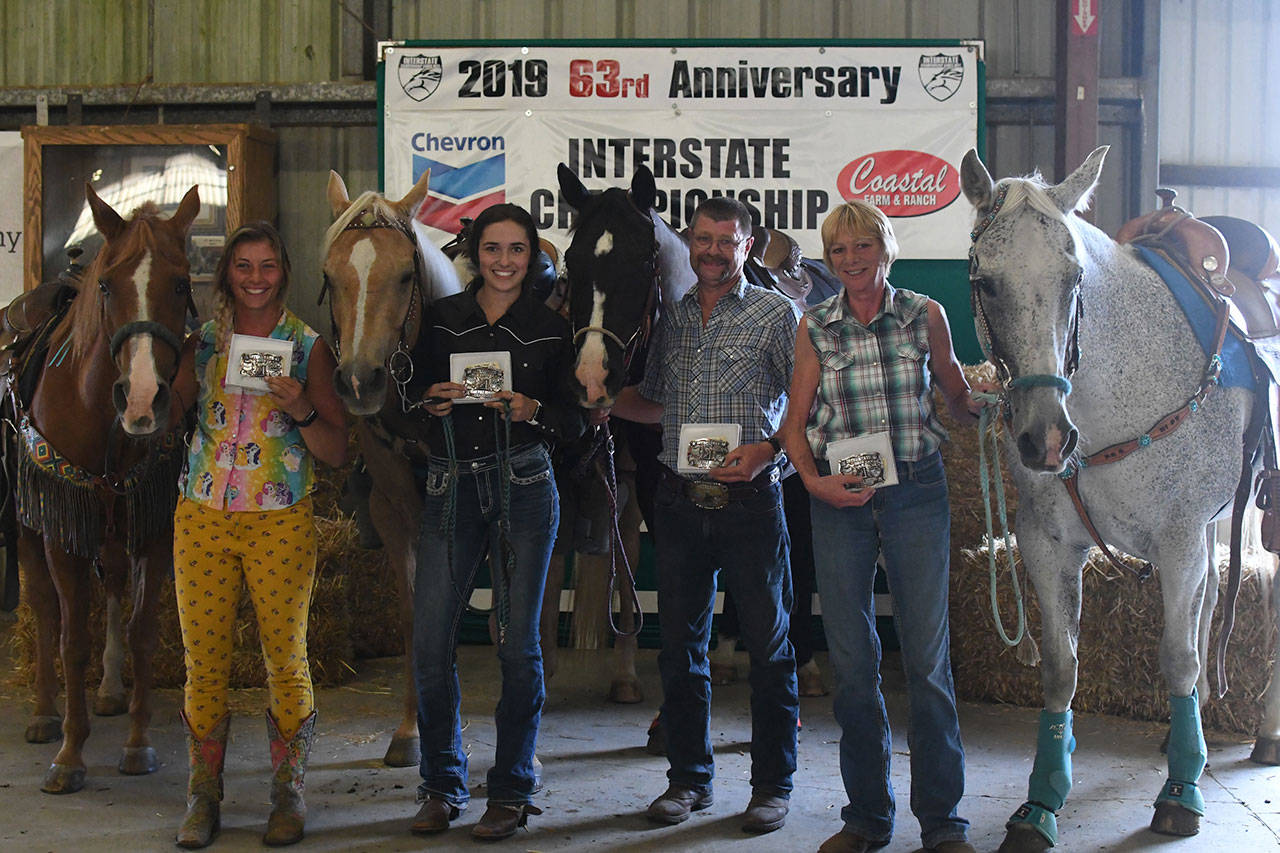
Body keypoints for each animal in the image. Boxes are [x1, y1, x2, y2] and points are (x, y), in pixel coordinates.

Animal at [16, 184, 198, 788]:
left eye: (182, 282)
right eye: (106, 285)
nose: (142, 398)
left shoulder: (151, 519)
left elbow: (142, 630)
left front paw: (138, 743)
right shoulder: (62, 524)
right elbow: (71, 636)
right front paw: (70, 754)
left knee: (115, 583)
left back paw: (112, 689)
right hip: (27, 524)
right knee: (43, 608)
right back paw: (43, 713)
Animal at [962, 146, 1259, 845]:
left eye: (1074, 278)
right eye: (986, 282)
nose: (1046, 438)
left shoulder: (1178, 544)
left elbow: (1176, 658)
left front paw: (1180, 795)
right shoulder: (1047, 547)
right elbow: (1059, 668)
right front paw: (1043, 799)